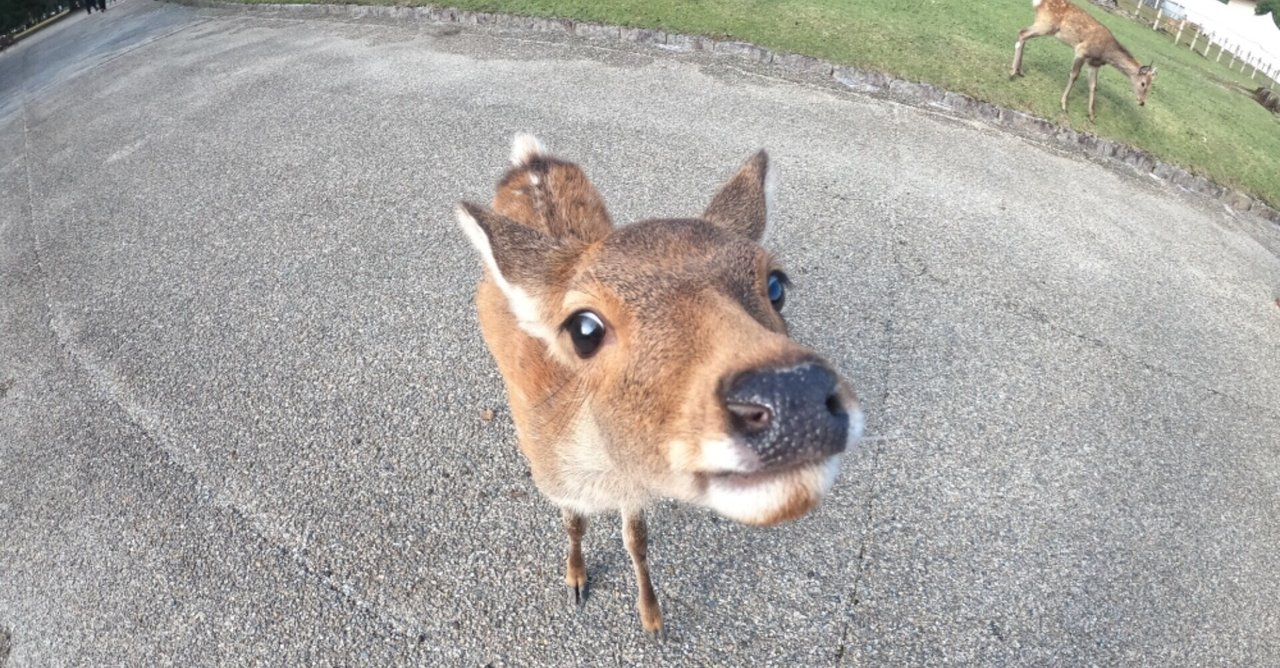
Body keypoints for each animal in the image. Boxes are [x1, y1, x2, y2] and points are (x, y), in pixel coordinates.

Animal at [454, 135, 864, 637]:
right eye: (583, 329)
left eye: (776, 285)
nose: (794, 394)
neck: (605, 482)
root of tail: (531, 161)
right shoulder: (555, 481)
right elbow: (574, 525)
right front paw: (576, 581)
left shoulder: (634, 493)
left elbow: (637, 540)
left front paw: (652, 617)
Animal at [1011, 0, 1157, 122]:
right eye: (1143, 83)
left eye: (1151, 85)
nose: (1142, 102)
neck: (1105, 53)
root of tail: (1038, 2)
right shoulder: (1081, 51)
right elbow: (1074, 76)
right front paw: (1064, 104)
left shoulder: (1094, 63)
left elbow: (1093, 86)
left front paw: (1091, 115)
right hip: (1046, 24)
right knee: (1022, 32)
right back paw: (1012, 72)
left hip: (1043, 25)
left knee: (1024, 35)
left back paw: (1019, 71)